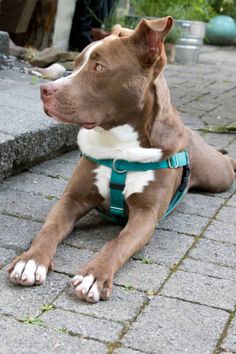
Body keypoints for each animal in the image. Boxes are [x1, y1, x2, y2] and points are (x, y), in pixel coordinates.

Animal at [8, 17, 235, 304]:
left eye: (99, 66)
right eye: (77, 62)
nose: (45, 90)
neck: (119, 146)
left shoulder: (146, 215)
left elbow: (118, 242)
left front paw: (94, 276)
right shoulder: (71, 199)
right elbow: (49, 229)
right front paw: (30, 261)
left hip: (218, 176)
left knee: (228, 164)